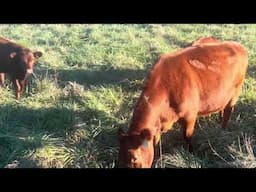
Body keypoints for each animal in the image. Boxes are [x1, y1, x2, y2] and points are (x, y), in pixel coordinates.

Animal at [118, 40, 248, 168]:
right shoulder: (157, 127)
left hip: (235, 92)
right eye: (120, 157)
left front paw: (191, 154)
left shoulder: (190, 116)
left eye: (134, 158)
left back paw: (223, 130)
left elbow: (187, 136)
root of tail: (237, 45)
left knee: (228, 112)